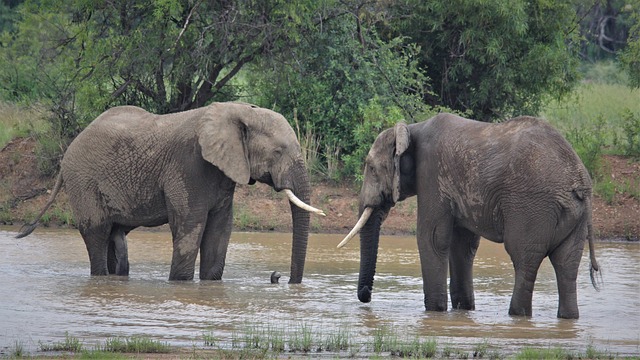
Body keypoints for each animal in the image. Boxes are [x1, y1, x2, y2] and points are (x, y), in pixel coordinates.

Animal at [16, 102, 324, 284]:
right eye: (278, 152)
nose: (278, 277)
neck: (238, 112)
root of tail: (66, 154)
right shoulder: (188, 166)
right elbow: (190, 226)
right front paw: (181, 284)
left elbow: (220, 230)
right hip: (83, 182)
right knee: (97, 234)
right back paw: (102, 279)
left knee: (115, 237)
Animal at [340, 112, 600, 318]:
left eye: (371, 168)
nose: (366, 295)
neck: (412, 128)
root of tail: (578, 181)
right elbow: (461, 245)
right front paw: (463, 310)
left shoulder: (432, 175)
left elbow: (431, 238)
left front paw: (435, 312)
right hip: (574, 216)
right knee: (566, 265)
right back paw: (567, 318)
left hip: (532, 207)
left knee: (524, 258)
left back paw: (517, 315)